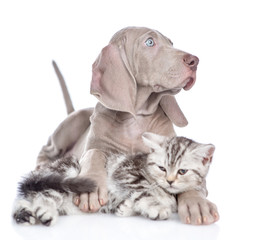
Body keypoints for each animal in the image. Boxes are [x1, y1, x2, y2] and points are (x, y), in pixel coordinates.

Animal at [13, 133, 215, 225]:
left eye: (182, 171)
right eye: (162, 168)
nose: (170, 181)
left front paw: (124, 208)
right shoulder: (126, 172)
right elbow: (143, 191)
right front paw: (155, 207)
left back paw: (25, 213)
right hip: (66, 177)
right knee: (45, 194)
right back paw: (45, 212)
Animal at [37, 27, 218, 224]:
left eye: (171, 43)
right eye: (149, 42)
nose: (194, 61)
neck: (136, 117)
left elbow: (193, 180)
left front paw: (197, 204)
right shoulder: (92, 148)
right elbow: (94, 153)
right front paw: (91, 187)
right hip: (72, 124)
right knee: (46, 149)